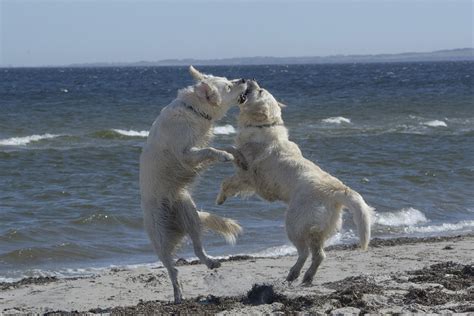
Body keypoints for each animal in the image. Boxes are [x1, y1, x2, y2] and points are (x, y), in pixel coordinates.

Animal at [140, 65, 248, 302]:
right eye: (229, 86)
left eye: (229, 79)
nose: (245, 78)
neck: (194, 110)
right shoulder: (186, 153)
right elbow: (210, 150)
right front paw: (225, 156)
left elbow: (227, 147)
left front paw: (238, 157)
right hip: (160, 237)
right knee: (173, 269)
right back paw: (178, 295)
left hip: (190, 215)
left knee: (198, 249)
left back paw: (211, 262)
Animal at [216, 80, 374, 286]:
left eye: (260, 90)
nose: (248, 79)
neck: (263, 126)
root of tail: (337, 191)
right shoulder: (248, 181)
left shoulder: (247, 174)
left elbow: (230, 159)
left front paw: (220, 197)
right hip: (317, 229)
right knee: (319, 255)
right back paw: (306, 276)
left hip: (294, 223)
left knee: (305, 252)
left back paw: (294, 273)